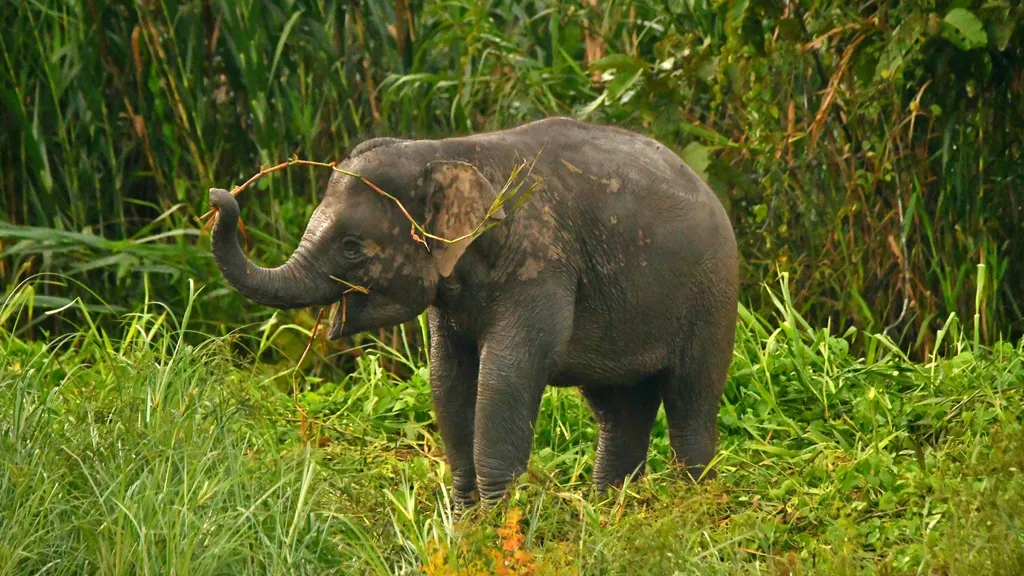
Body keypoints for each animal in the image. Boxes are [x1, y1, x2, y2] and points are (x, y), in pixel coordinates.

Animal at [209, 114, 737, 504]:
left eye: (352, 247)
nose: (220, 196)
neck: (441, 150)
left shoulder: (540, 264)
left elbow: (507, 375)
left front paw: (503, 529)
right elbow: (447, 378)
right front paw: (469, 529)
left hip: (712, 296)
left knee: (691, 403)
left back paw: (692, 509)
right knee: (618, 411)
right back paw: (615, 515)